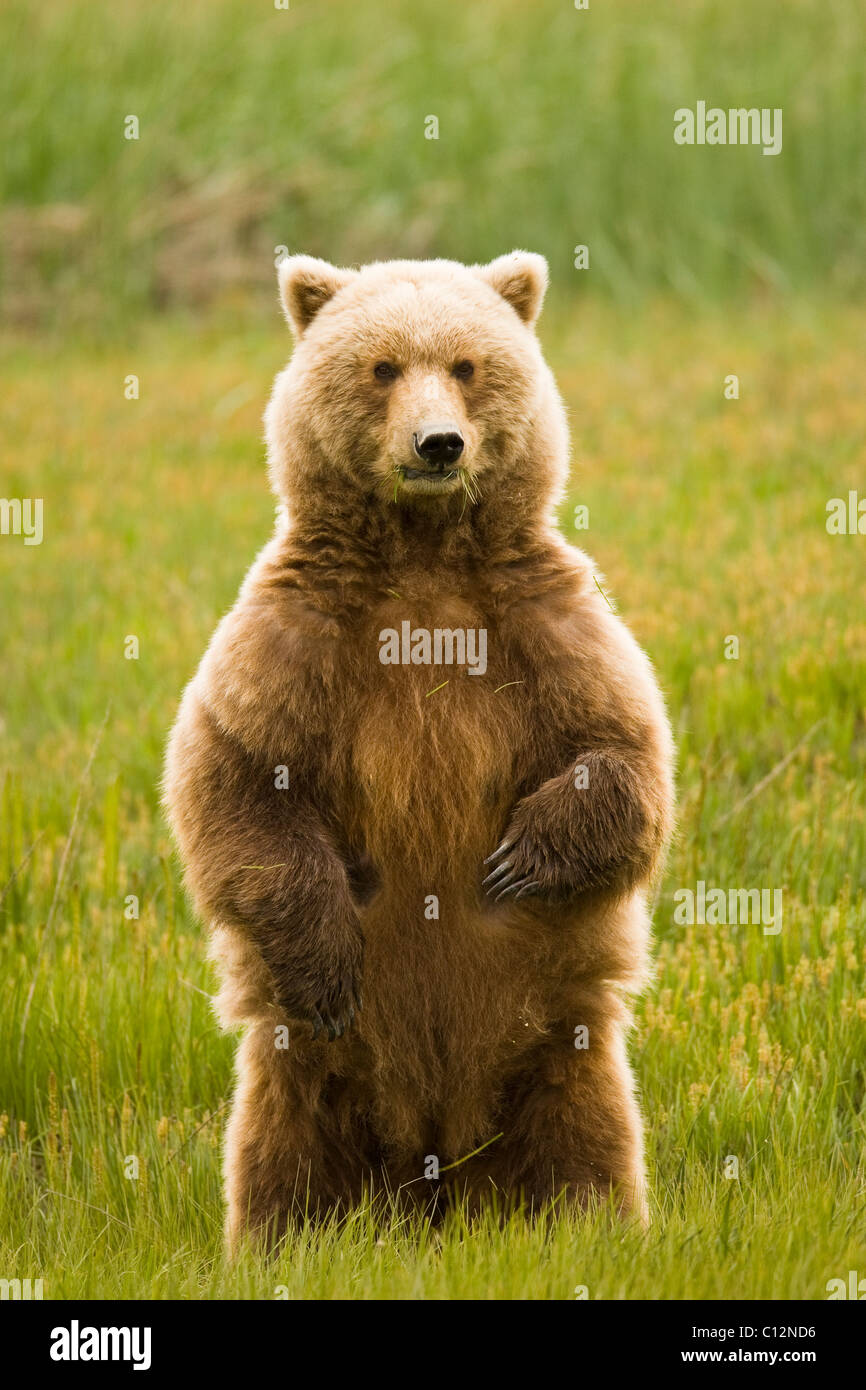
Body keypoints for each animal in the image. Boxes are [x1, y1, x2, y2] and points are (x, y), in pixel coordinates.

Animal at [164, 250, 678, 1251]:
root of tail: (436, 1177)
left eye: (469, 365)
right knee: (283, 1149)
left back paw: (589, 1227)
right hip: (304, 1070)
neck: (425, 555)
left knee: (586, 1139)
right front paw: (330, 967)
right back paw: (284, 1240)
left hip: (559, 1046)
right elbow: (237, 778)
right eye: (383, 368)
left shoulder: (545, 620)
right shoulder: (294, 633)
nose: (438, 444)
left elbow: (625, 752)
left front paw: (520, 858)